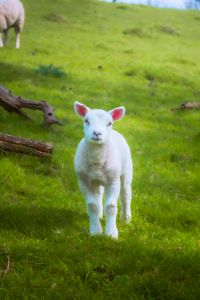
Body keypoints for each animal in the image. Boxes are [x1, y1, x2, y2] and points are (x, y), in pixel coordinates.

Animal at [73, 102, 133, 238]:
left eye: (109, 123)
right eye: (86, 120)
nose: (97, 133)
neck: (97, 161)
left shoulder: (113, 180)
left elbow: (111, 206)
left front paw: (111, 233)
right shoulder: (83, 180)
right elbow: (92, 205)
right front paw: (96, 231)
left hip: (126, 172)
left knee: (125, 194)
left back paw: (126, 218)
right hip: (97, 179)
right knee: (99, 195)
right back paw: (100, 216)